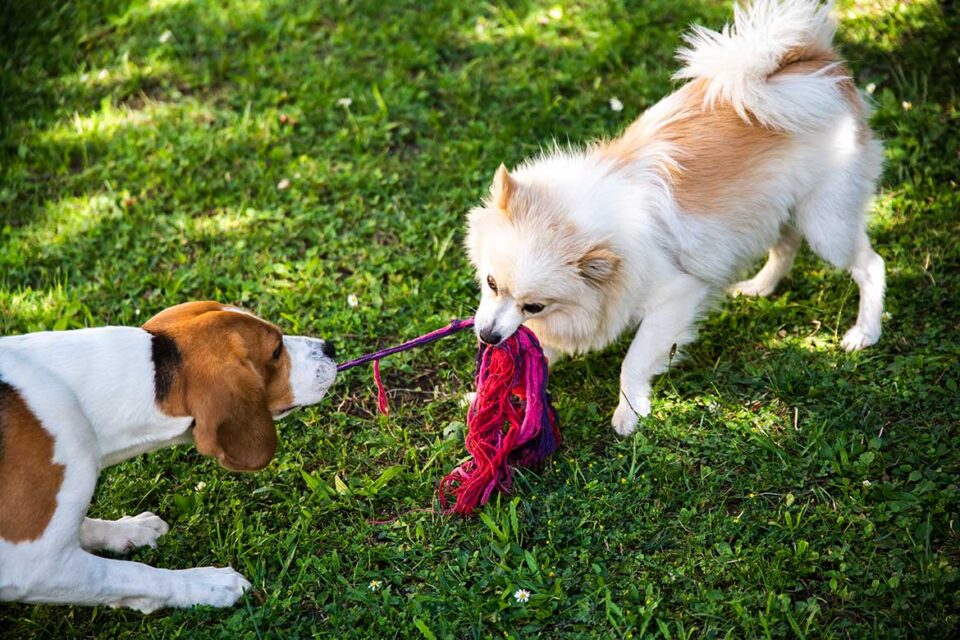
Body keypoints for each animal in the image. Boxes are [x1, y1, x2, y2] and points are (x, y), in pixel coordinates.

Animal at [0, 302, 338, 612]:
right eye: (277, 351)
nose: (330, 346)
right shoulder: (39, 566)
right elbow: (138, 575)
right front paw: (205, 583)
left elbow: (83, 525)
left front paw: (128, 530)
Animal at [464, 0, 884, 436]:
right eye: (491, 283)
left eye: (534, 306)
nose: (487, 336)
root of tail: (819, 62)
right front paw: (484, 396)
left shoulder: (675, 296)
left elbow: (633, 361)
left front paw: (630, 412)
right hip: (774, 211)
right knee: (786, 246)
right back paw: (759, 287)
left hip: (826, 224)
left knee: (871, 265)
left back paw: (864, 332)